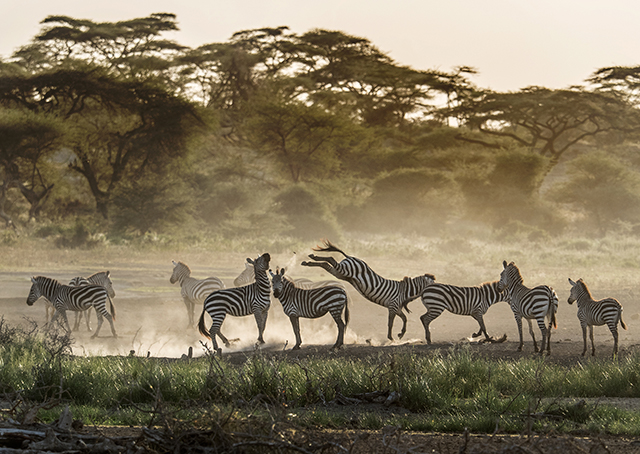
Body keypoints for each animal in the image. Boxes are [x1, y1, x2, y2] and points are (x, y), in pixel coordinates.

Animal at [300, 241, 436, 340]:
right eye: (433, 284)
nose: (438, 289)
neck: (405, 291)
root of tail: (352, 257)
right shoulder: (393, 306)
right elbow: (391, 322)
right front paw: (390, 337)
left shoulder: (396, 307)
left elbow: (404, 319)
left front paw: (401, 334)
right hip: (345, 270)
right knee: (331, 258)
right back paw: (313, 257)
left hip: (340, 273)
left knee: (326, 264)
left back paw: (309, 261)